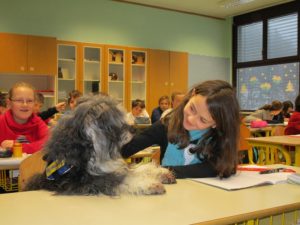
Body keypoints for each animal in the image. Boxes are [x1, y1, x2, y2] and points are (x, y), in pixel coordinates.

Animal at [26, 95, 176, 195]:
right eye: (110, 121)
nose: (134, 129)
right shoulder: (87, 181)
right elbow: (124, 180)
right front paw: (150, 184)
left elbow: (136, 169)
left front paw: (162, 173)